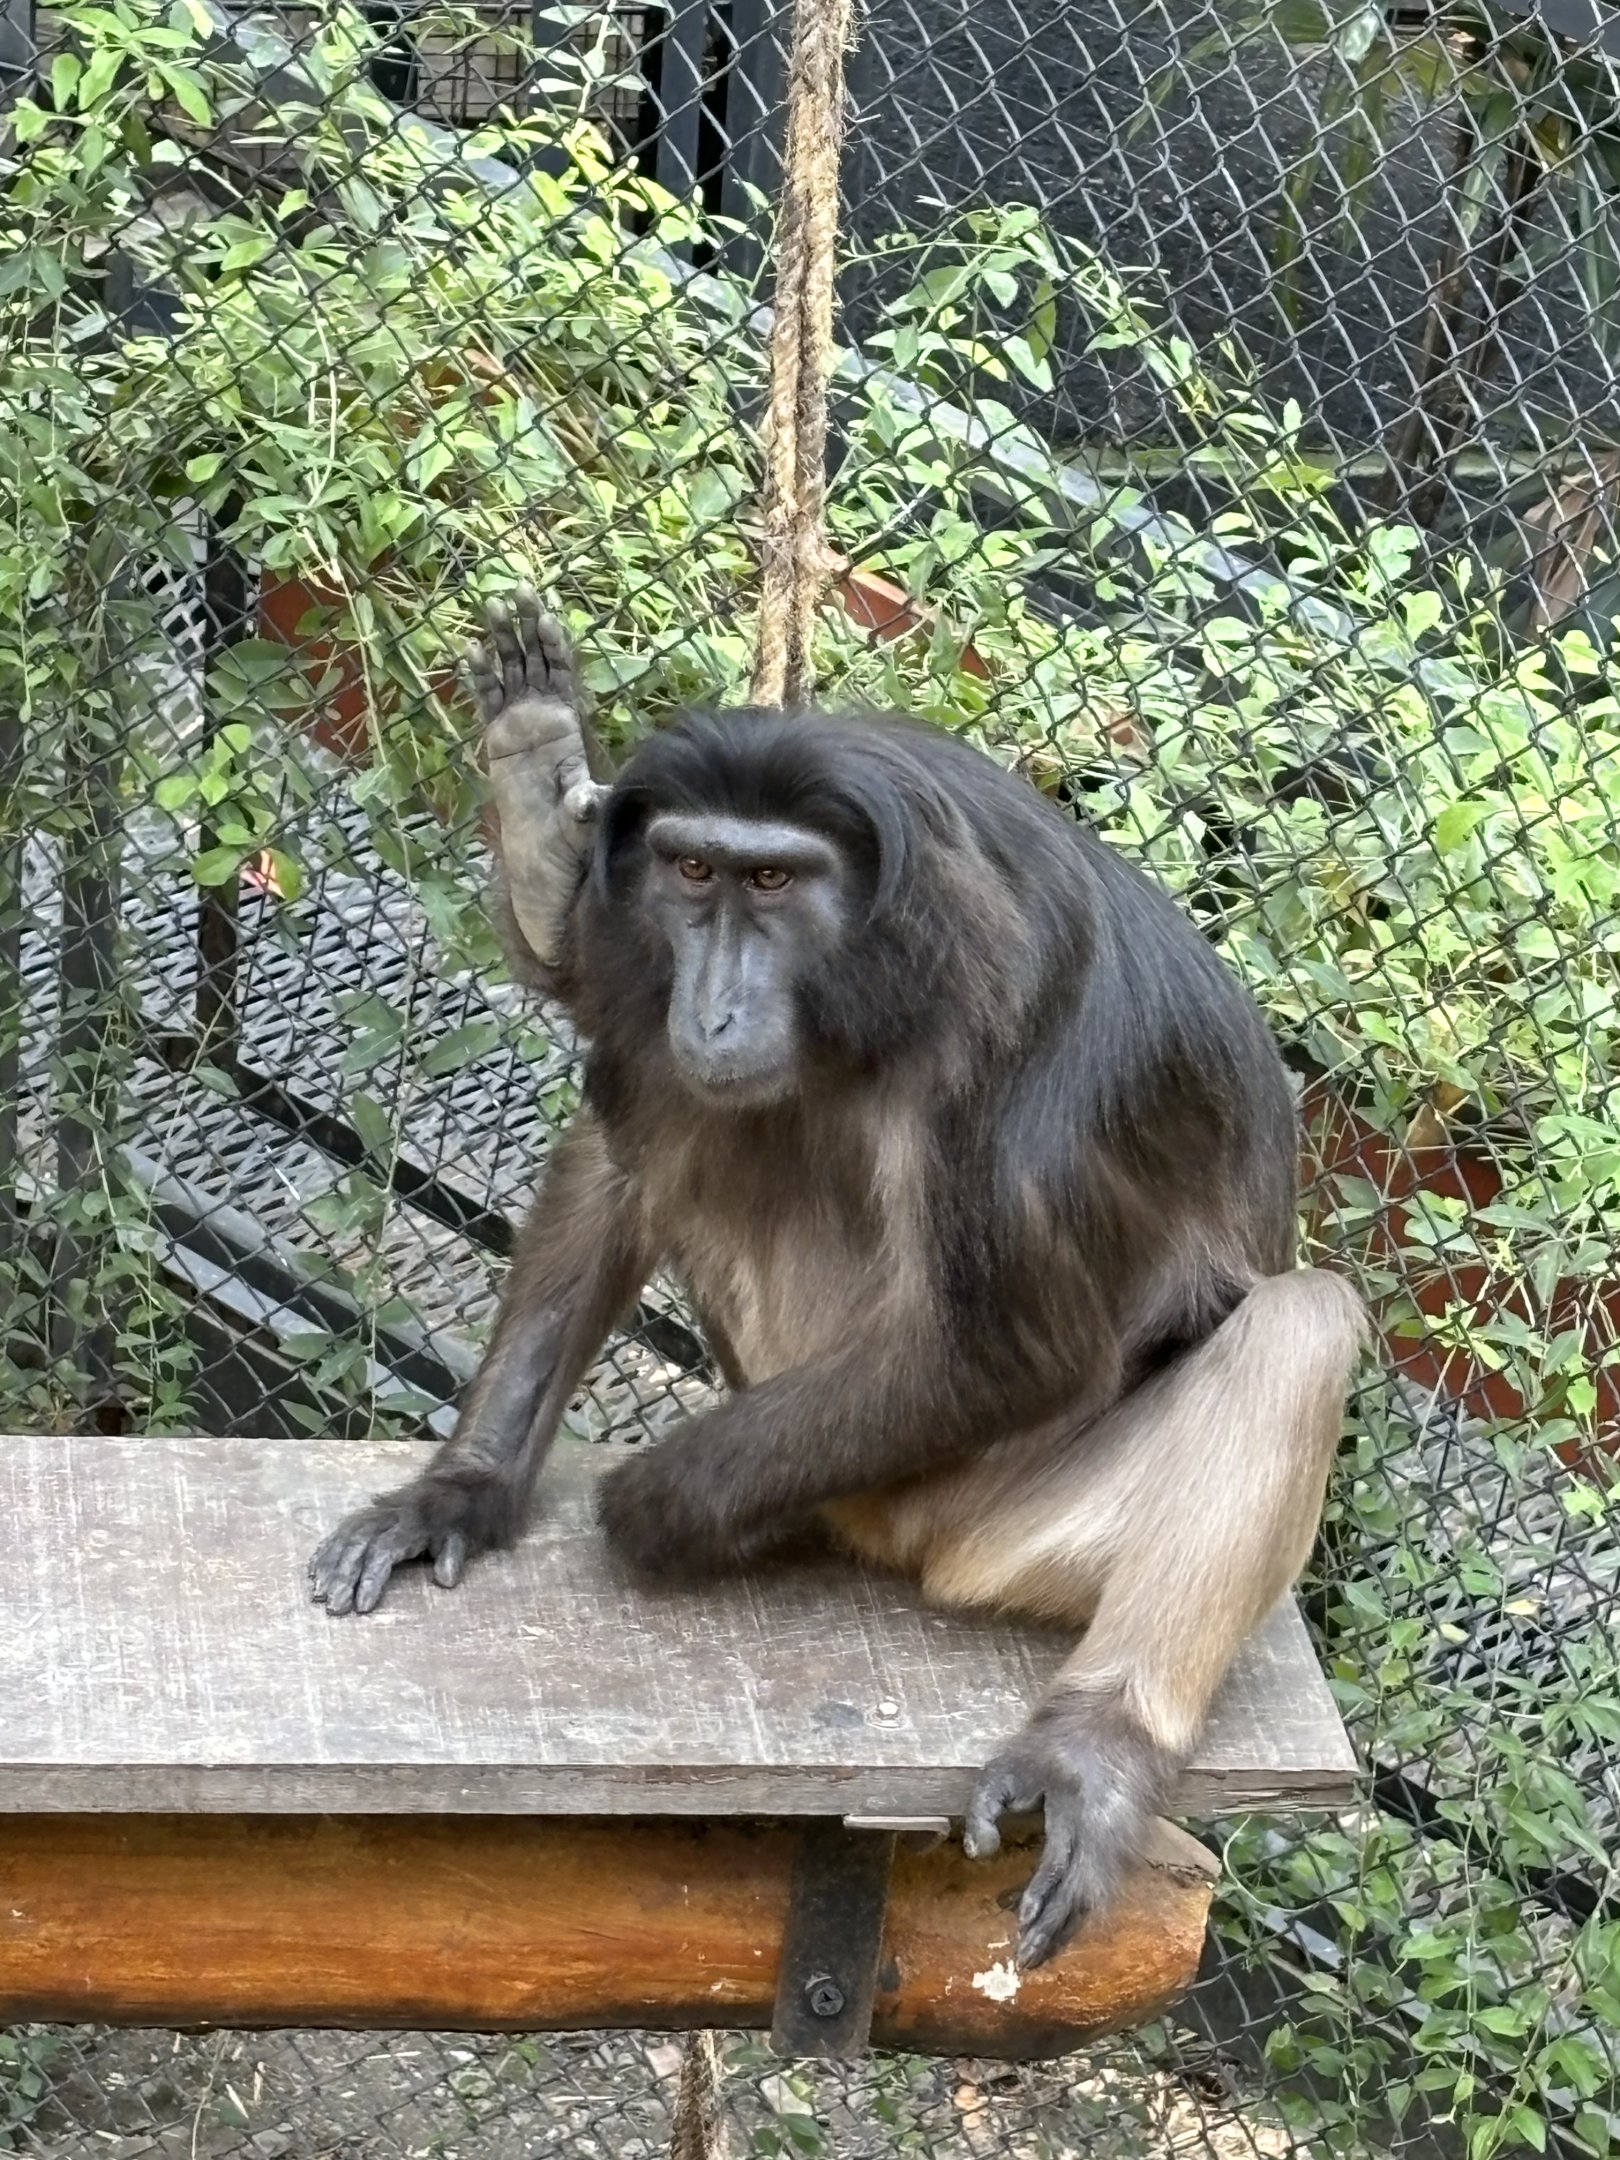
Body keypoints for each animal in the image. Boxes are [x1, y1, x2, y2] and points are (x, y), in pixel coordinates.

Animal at [309, 587, 1367, 1971]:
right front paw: (466, 1489)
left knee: (1302, 1320)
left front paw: (660, 1506)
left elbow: (1011, 1351)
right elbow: (623, 1147)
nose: (716, 1001)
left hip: (976, 1519)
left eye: (774, 881)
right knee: (688, 1126)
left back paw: (1094, 1745)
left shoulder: (1013, 1032)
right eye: (695, 874)